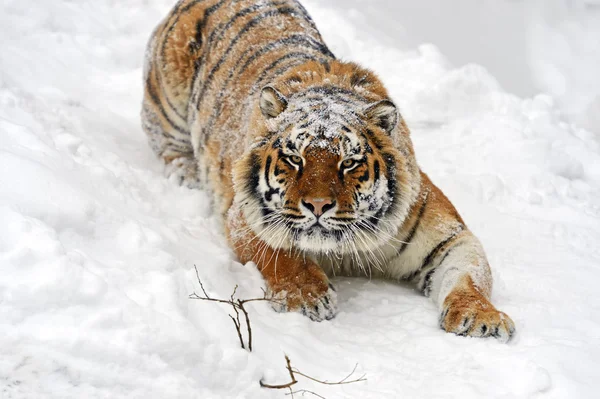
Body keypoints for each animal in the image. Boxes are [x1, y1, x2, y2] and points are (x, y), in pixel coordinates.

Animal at [142, 0, 516, 344]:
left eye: (348, 163)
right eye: (295, 159)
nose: (318, 205)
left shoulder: (449, 236)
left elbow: (469, 275)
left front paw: (480, 317)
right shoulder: (244, 215)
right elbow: (280, 254)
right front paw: (308, 297)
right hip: (167, 102)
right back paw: (187, 174)